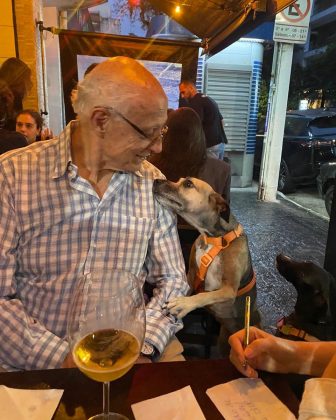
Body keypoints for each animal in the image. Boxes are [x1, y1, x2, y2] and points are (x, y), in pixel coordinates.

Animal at [152, 176, 260, 352]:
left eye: (188, 184)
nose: (156, 180)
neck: (214, 238)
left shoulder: (229, 289)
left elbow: (204, 295)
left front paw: (184, 303)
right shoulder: (190, 276)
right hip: (223, 341)